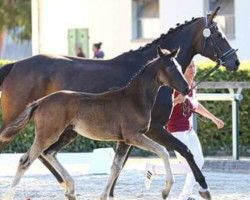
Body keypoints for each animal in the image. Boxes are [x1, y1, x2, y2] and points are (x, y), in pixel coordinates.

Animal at [0, 47, 189, 200]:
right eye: (170, 68)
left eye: (180, 67)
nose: (187, 88)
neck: (134, 98)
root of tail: (40, 102)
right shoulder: (134, 136)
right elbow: (163, 151)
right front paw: (166, 190)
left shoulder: (124, 141)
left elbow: (116, 167)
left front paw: (104, 195)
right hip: (48, 134)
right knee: (26, 160)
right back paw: (10, 195)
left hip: (68, 133)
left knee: (49, 153)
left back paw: (71, 190)